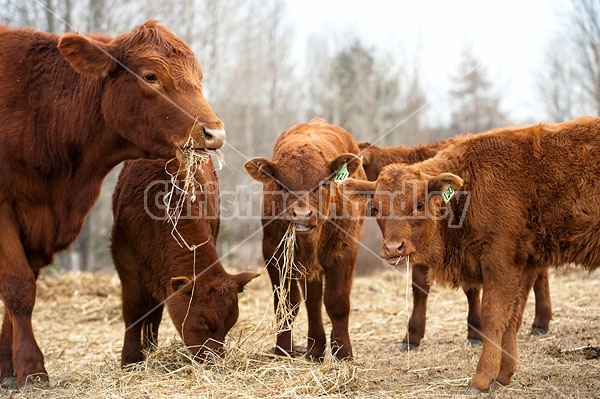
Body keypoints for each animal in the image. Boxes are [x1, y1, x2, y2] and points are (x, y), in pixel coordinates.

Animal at [0, 21, 225, 388]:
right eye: (151, 76)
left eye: (198, 77)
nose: (214, 133)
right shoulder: (5, 210)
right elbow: (18, 288)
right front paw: (32, 369)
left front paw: (8, 369)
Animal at [111, 158, 256, 368]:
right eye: (202, 321)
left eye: (231, 322)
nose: (214, 360)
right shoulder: (126, 261)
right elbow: (134, 309)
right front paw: (130, 359)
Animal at [244, 117, 366, 360]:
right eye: (280, 184)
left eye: (323, 183)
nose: (301, 214)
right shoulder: (275, 253)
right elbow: (287, 304)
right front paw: (282, 349)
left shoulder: (345, 251)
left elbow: (337, 302)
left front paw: (343, 352)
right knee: (313, 301)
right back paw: (315, 348)